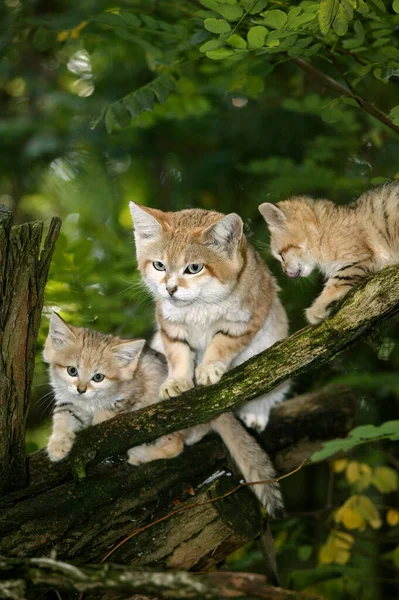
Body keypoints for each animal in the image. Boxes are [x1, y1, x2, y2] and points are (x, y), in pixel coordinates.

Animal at [131, 204, 290, 434]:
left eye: (194, 268)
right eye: (159, 265)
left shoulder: (247, 320)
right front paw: (177, 380)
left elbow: (222, 343)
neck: (200, 304)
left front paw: (209, 365)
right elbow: (177, 352)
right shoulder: (169, 323)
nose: (170, 289)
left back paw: (255, 412)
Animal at [260, 182, 399, 326]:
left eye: (280, 255)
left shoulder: (360, 257)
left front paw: (318, 307)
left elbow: (337, 280)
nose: (285, 271)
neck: (322, 233)